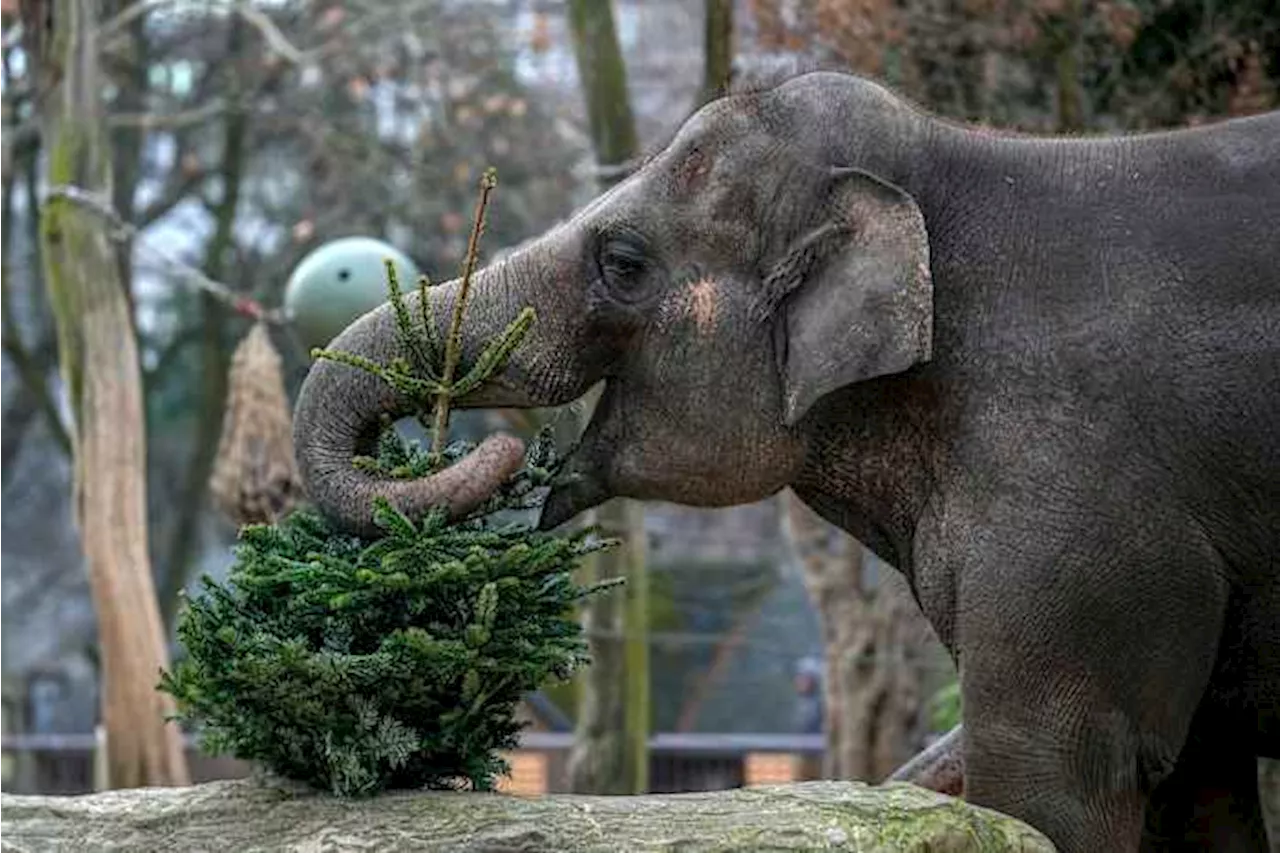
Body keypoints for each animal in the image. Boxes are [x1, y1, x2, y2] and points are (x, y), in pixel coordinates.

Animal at [294, 71, 1280, 850]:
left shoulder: (1084, 511)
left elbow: (1053, 778)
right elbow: (1198, 785)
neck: (958, 156)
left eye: (623, 261)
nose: (501, 449)